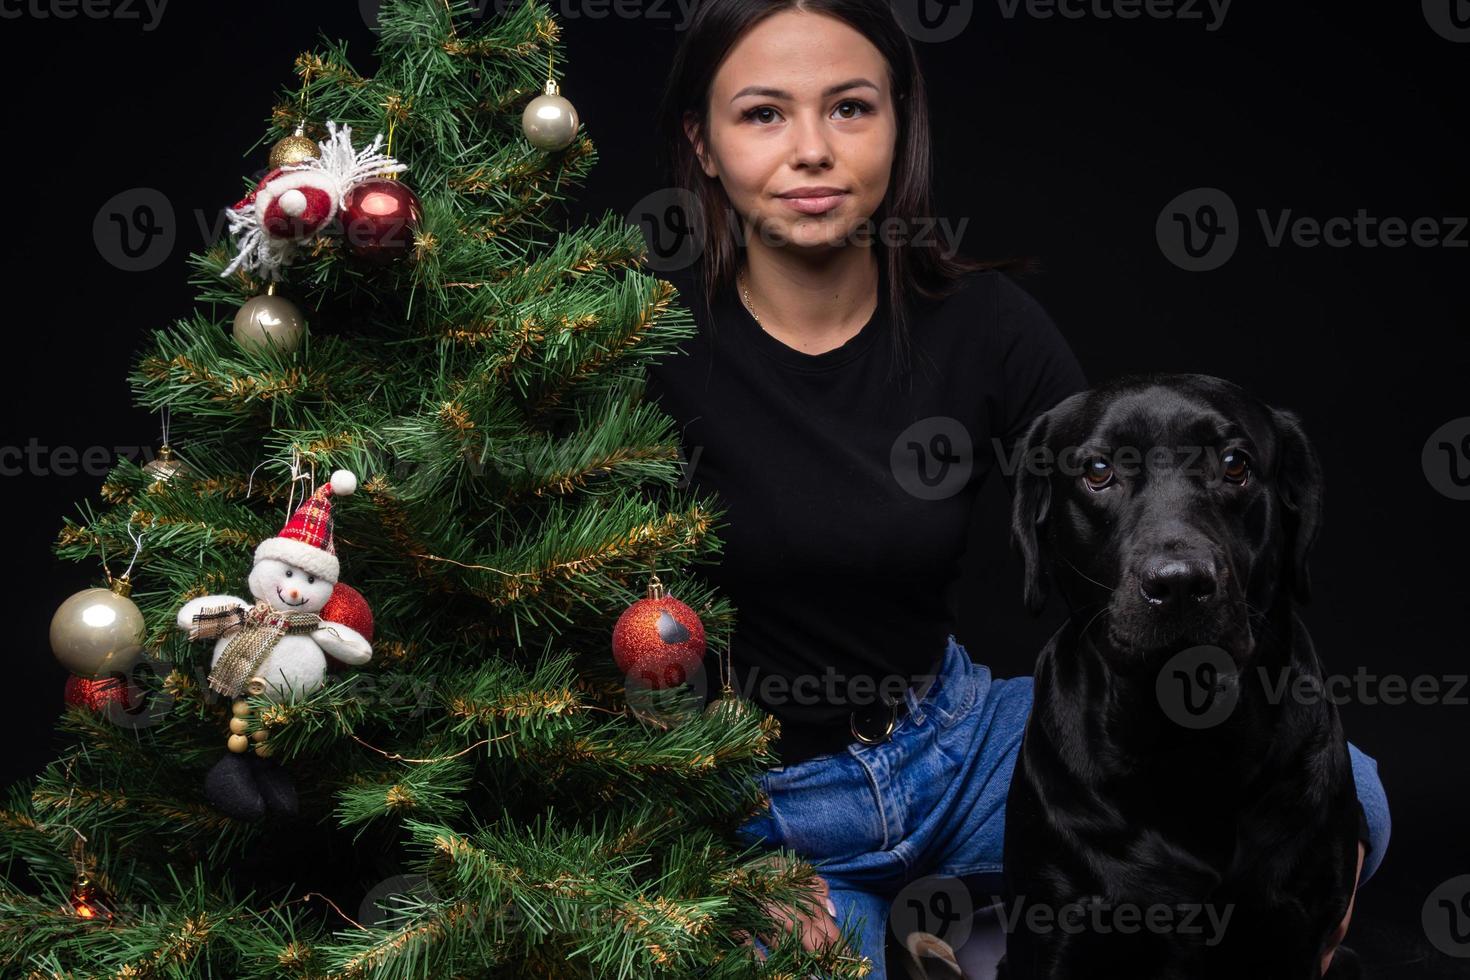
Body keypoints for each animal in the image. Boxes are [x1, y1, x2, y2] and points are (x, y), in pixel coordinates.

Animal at [993, 371, 1358, 975]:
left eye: (1234, 464)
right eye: (1099, 471)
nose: (1180, 583)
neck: (1184, 743)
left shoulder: (1301, 930)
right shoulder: (1055, 933)